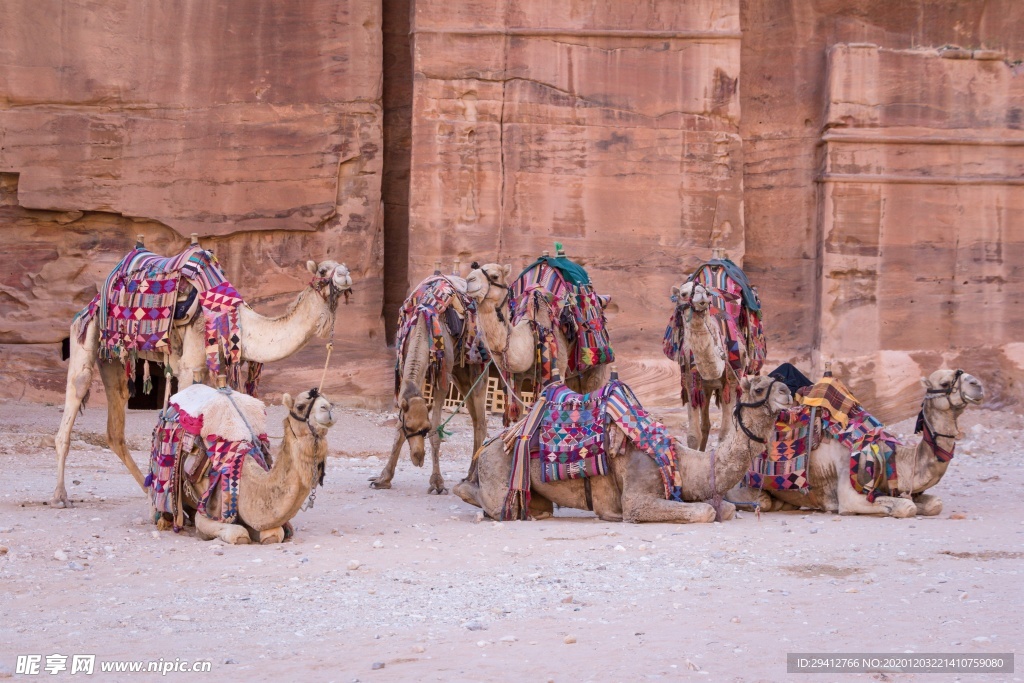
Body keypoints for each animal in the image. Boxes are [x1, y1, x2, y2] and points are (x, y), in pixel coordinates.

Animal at [52, 255, 356, 507]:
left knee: (116, 424)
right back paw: (60, 496)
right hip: (85, 333)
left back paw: (148, 491)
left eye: (343, 265)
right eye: (324, 269)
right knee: (77, 388)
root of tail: (91, 303)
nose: (346, 274)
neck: (239, 324)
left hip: (113, 358)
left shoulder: (215, 368)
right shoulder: (190, 366)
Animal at [155, 385, 333, 544]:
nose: (328, 409)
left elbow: (274, 534)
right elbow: (238, 534)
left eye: (329, 402)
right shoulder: (207, 513)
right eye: (300, 406)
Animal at [452, 374, 794, 524]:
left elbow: (727, 508)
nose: (788, 392)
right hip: (499, 470)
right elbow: (706, 511)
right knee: (487, 500)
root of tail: (491, 444)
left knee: (538, 506)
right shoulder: (637, 496)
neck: (681, 461)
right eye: (760, 388)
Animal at [468, 266, 610, 397]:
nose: (469, 279)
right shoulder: (514, 378)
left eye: (495, 276)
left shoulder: (557, 371)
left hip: (595, 366)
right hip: (573, 375)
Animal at [729, 370, 983, 516]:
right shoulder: (847, 485)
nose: (978, 385)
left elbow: (934, 504)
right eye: (945, 382)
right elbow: (906, 507)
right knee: (761, 500)